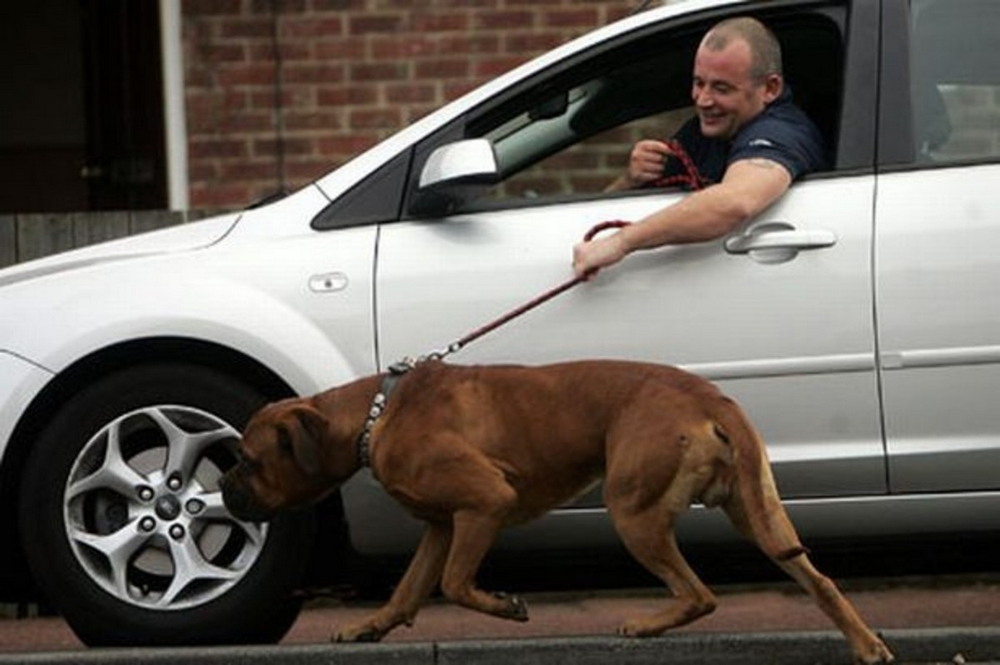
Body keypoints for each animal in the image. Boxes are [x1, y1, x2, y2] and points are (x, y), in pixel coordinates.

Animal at [223, 360, 896, 660]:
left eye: (249, 461)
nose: (223, 485)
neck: (372, 415)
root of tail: (710, 397)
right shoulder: (442, 525)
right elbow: (410, 589)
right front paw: (370, 626)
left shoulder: (484, 504)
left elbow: (455, 583)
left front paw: (505, 606)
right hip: (759, 514)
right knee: (818, 581)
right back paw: (866, 646)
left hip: (633, 512)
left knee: (699, 594)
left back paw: (645, 625)